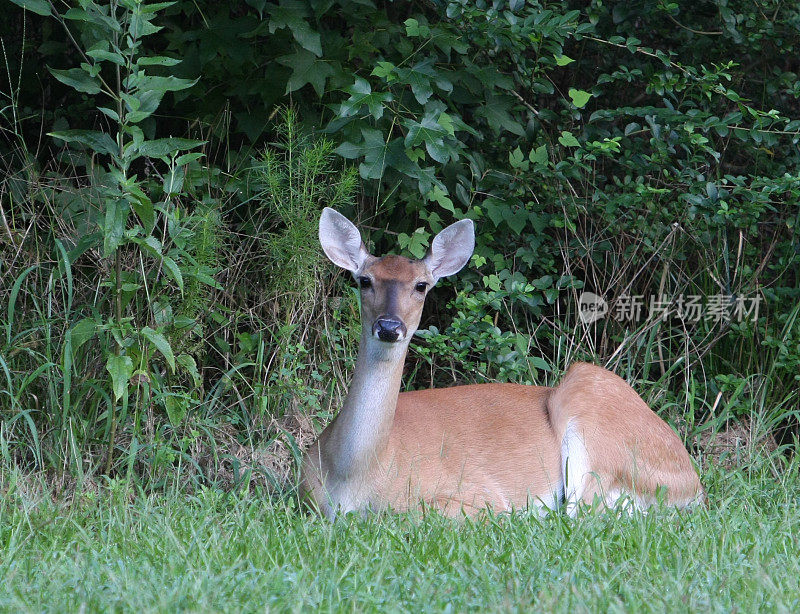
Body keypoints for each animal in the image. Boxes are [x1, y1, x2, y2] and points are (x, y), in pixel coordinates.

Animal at [298, 208, 700, 520]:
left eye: (421, 286)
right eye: (364, 280)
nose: (389, 327)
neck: (357, 477)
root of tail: (694, 486)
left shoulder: (479, 492)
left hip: (593, 411)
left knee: (583, 513)